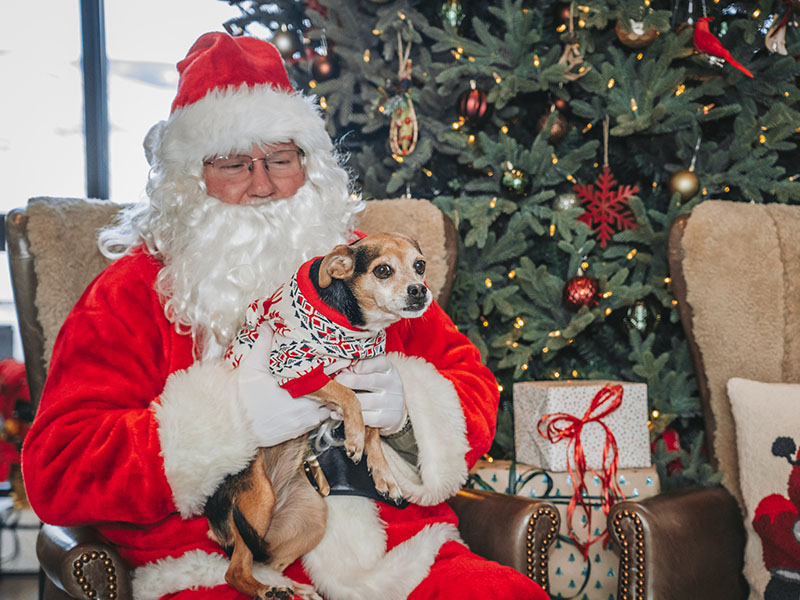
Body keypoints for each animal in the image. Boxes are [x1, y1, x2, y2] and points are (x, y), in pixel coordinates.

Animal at [206, 232, 432, 596]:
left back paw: (293, 588)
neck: (357, 328)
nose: (419, 290)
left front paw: (382, 472)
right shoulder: (292, 368)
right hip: (257, 498)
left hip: (312, 516)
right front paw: (353, 439)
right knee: (235, 571)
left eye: (420, 266)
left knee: (268, 562)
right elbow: (346, 396)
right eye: (383, 270)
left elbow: (373, 426)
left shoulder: (373, 377)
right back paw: (266, 591)